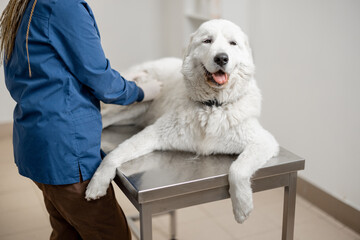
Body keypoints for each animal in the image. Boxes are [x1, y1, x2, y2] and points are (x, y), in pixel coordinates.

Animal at [86, 18, 280, 223]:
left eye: (232, 43)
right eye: (207, 41)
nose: (221, 58)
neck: (212, 105)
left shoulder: (263, 141)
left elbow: (238, 168)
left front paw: (242, 206)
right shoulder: (154, 133)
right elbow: (113, 155)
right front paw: (97, 183)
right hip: (131, 104)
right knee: (106, 116)